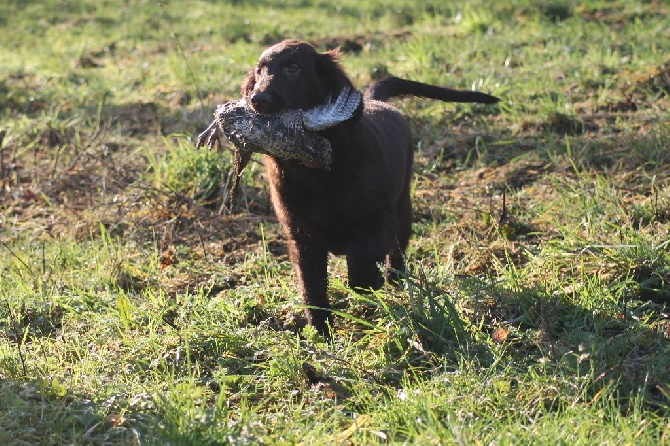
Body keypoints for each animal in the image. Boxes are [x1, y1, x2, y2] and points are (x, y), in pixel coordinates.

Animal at [243, 41, 498, 334]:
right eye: (259, 71)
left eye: (293, 68)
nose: (257, 99)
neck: (314, 172)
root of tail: (379, 102)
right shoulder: (301, 237)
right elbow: (312, 287)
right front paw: (320, 330)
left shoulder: (378, 218)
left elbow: (361, 258)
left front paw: (369, 284)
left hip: (403, 208)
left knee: (398, 248)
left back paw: (394, 279)